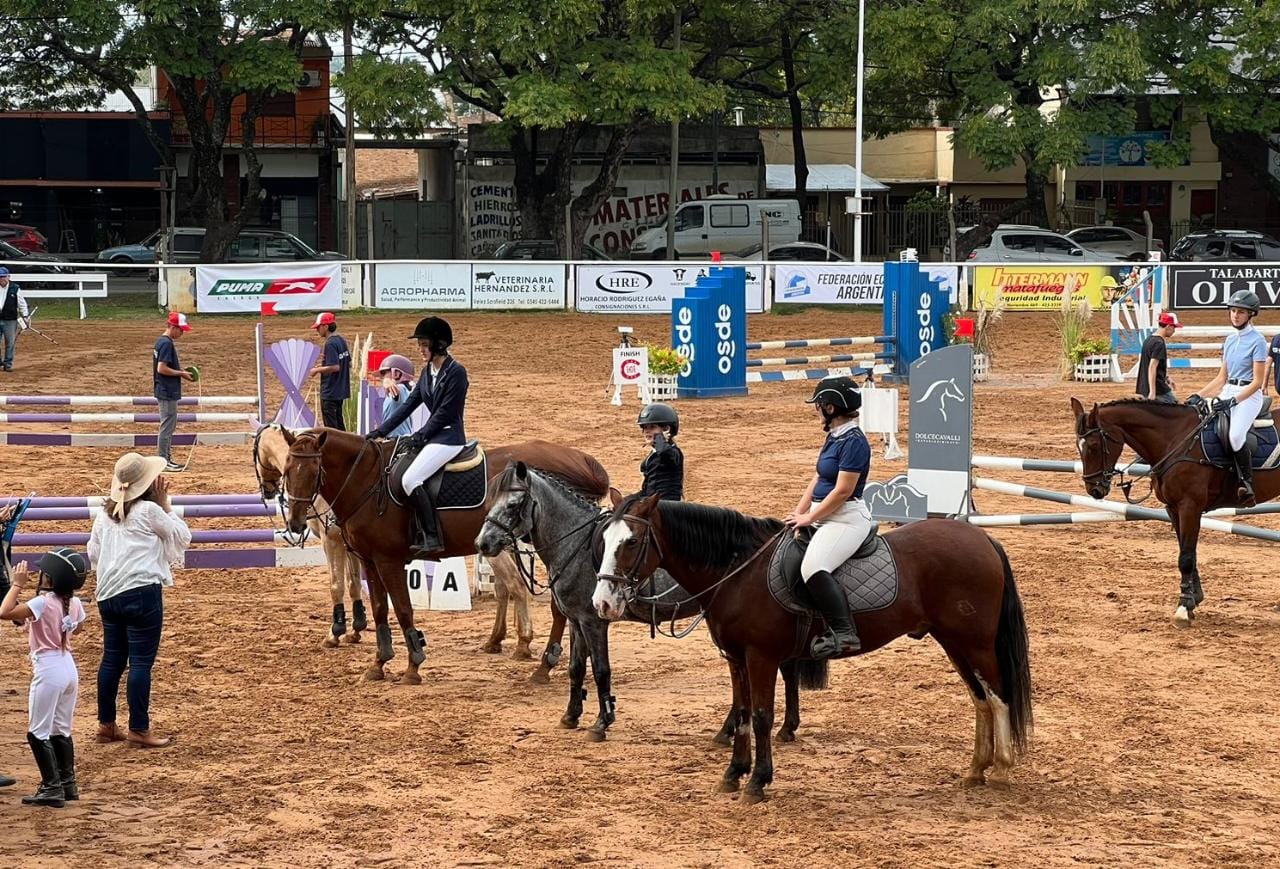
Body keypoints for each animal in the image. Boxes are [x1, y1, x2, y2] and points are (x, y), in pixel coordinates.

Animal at [282, 430, 611, 685]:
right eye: (286, 470)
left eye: (313, 470)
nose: (296, 522)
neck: (368, 480)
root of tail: (579, 461)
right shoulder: (369, 560)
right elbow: (379, 610)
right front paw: (378, 664)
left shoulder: (388, 560)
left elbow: (403, 610)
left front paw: (413, 666)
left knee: (556, 607)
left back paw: (544, 666)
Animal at [476, 463, 824, 742]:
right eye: (490, 501)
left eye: (513, 504)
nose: (483, 543)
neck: (578, 544)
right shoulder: (576, 620)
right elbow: (576, 668)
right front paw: (571, 715)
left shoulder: (593, 621)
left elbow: (600, 670)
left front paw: (602, 722)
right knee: (784, 669)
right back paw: (783, 728)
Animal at [593, 494, 1034, 803]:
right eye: (604, 539)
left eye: (631, 542)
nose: (603, 603)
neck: (738, 571)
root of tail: (981, 536)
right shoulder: (736, 658)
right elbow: (741, 713)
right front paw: (733, 774)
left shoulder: (761, 657)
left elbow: (761, 715)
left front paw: (758, 781)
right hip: (953, 642)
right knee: (980, 699)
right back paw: (976, 769)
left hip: (975, 643)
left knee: (998, 697)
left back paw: (1001, 770)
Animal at [1070, 396, 1280, 629]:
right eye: (1079, 446)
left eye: (1094, 446)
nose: (1094, 490)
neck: (1175, 440)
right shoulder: (1173, 508)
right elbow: (1187, 552)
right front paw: (1194, 598)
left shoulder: (1190, 506)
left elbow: (1186, 557)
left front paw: (1183, 607)